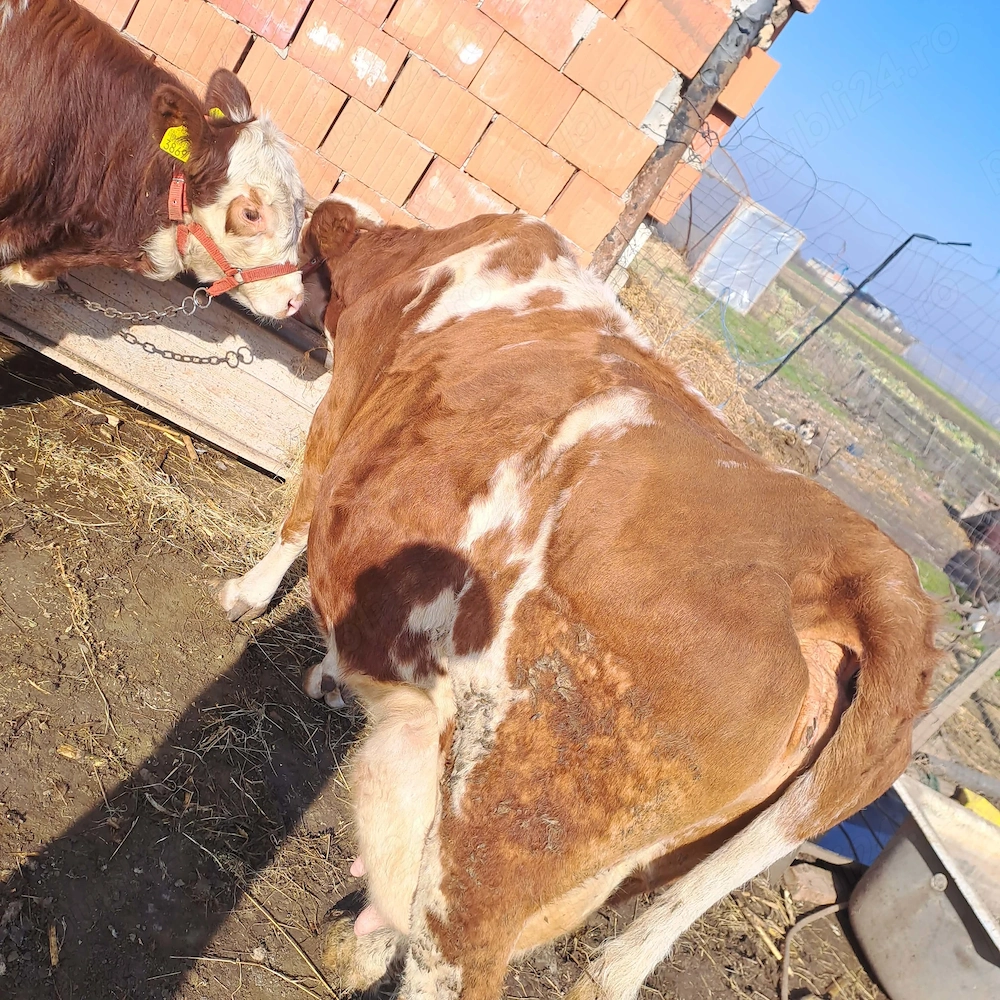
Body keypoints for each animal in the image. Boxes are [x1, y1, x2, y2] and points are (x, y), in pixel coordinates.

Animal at [219, 199, 941, 999]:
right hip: (642, 860)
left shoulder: (345, 401)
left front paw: (248, 598)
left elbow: (300, 506)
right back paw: (361, 947)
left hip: (499, 837)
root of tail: (859, 558)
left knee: (451, 956)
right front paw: (328, 676)